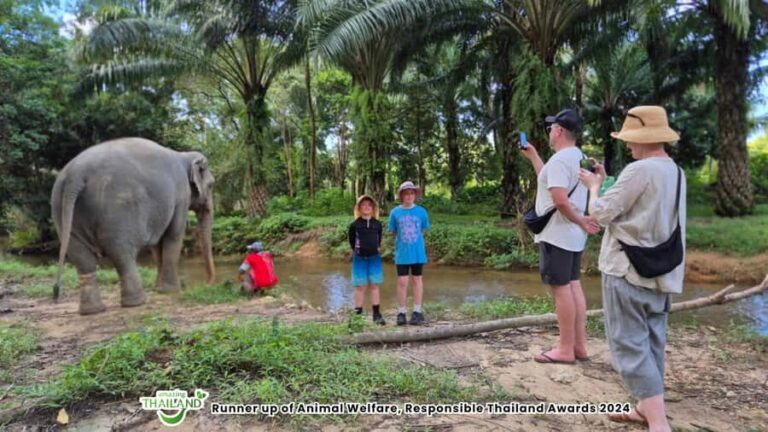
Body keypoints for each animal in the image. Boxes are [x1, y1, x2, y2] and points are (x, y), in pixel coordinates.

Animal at [50, 137, 216, 315]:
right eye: (211, 185)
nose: (207, 284)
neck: (184, 155)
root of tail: (76, 175)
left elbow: (157, 243)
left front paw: (159, 289)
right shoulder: (181, 196)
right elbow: (173, 235)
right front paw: (171, 291)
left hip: (61, 210)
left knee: (81, 257)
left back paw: (93, 311)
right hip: (117, 212)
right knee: (122, 254)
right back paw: (136, 302)